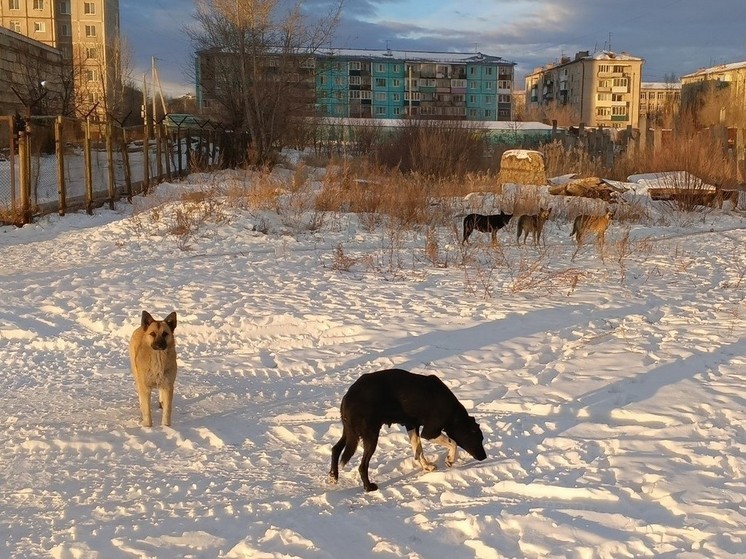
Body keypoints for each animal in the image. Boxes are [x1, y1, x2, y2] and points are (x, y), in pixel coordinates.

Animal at [328, 370, 486, 492]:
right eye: (478, 438)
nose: (484, 457)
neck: (453, 412)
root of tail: (348, 397)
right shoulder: (429, 432)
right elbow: (453, 442)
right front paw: (450, 459)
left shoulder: (411, 425)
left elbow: (418, 449)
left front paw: (426, 466)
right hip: (370, 435)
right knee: (362, 466)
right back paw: (369, 487)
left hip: (350, 433)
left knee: (335, 449)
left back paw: (333, 477)